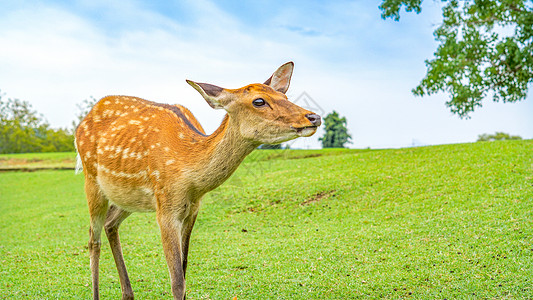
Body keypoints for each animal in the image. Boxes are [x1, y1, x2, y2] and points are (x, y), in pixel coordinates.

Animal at [74, 62, 320, 298]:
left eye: (285, 97)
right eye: (259, 101)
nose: (314, 117)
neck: (190, 178)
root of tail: (82, 123)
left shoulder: (192, 208)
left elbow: (184, 271)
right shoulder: (166, 208)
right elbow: (177, 282)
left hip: (128, 198)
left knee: (110, 224)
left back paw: (128, 294)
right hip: (91, 180)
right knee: (92, 239)